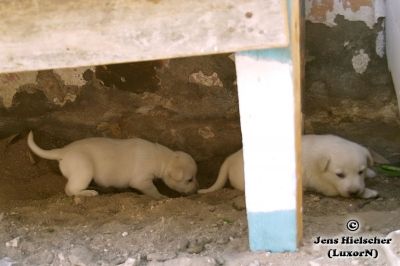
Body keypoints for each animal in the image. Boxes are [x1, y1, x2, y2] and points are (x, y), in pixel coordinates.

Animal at [26, 132, 198, 198]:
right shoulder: (142, 181)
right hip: (84, 170)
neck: (161, 158)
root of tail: (63, 151)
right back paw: (89, 193)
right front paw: (162, 197)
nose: (196, 190)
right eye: (189, 179)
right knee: (70, 190)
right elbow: (153, 191)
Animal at [199, 135, 378, 200]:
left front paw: (370, 173)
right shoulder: (323, 184)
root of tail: (229, 158)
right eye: (339, 175)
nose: (354, 192)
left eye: (360, 171)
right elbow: (336, 190)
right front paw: (368, 192)